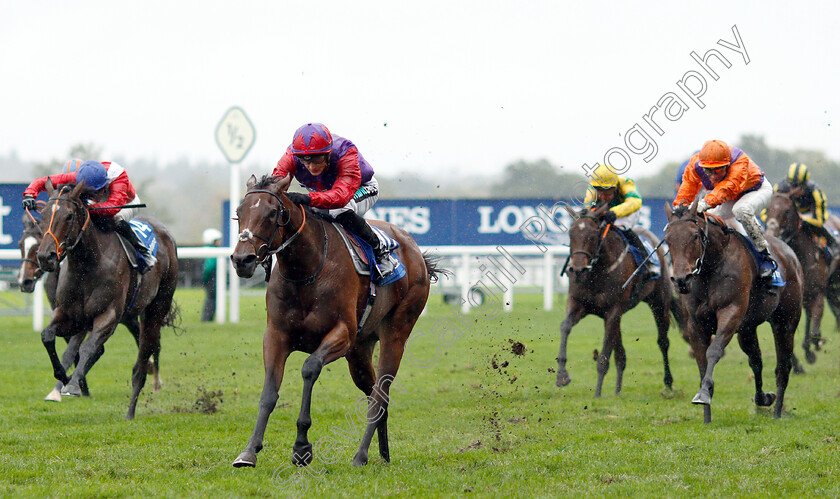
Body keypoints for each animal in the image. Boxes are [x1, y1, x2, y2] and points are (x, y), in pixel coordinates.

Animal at [18, 211, 162, 402]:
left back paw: (155, 378)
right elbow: (73, 351)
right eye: (21, 244)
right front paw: (72, 386)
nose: (24, 281)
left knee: (149, 339)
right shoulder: (70, 317)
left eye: (36, 245)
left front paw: (72, 385)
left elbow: (79, 349)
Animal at [35, 181, 178, 422]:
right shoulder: (70, 315)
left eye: (69, 216)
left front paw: (72, 385)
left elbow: (88, 348)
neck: (88, 264)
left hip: (155, 309)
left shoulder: (108, 315)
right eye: (43, 214)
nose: (46, 257)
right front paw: (64, 378)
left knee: (143, 359)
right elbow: (49, 337)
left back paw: (131, 412)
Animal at [226, 175, 442, 468]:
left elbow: (309, 368)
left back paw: (361, 455)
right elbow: (269, 391)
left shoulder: (342, 334)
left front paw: (302, 447)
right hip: (360, 352)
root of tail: (415, 251)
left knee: (380, 394)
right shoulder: (276, 335)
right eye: (239, 213)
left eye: (272, 213)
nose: (242, 260)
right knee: (374, 394)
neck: (306, 271)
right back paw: (383, 454)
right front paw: (249, 451)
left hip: (396, 332)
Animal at [556, 207, 680, 398]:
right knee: (621, 354)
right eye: (571, 234)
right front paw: (562, 375)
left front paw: (597, 394)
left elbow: (603, 357)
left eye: (593, 235)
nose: (577, 270)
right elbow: (565, 327)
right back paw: (617, 392)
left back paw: (668, 383)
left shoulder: (613, 310)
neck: (597, 271)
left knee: (663, 342)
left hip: (659, 302)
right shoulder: (578, 304)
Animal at [664, 201, 800, 424]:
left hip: (785, 322)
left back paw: (778, 413)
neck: (712, 267)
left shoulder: (731, 312)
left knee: (783, 367)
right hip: (747, 329)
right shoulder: (695, 324)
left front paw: (704, 393)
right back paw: (764, 398)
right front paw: (706, 416)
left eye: (694, 236)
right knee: (756, 360)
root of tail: (790, 254)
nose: (681, 280)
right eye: (668, 240)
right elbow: (702, 363)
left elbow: (713, 351)